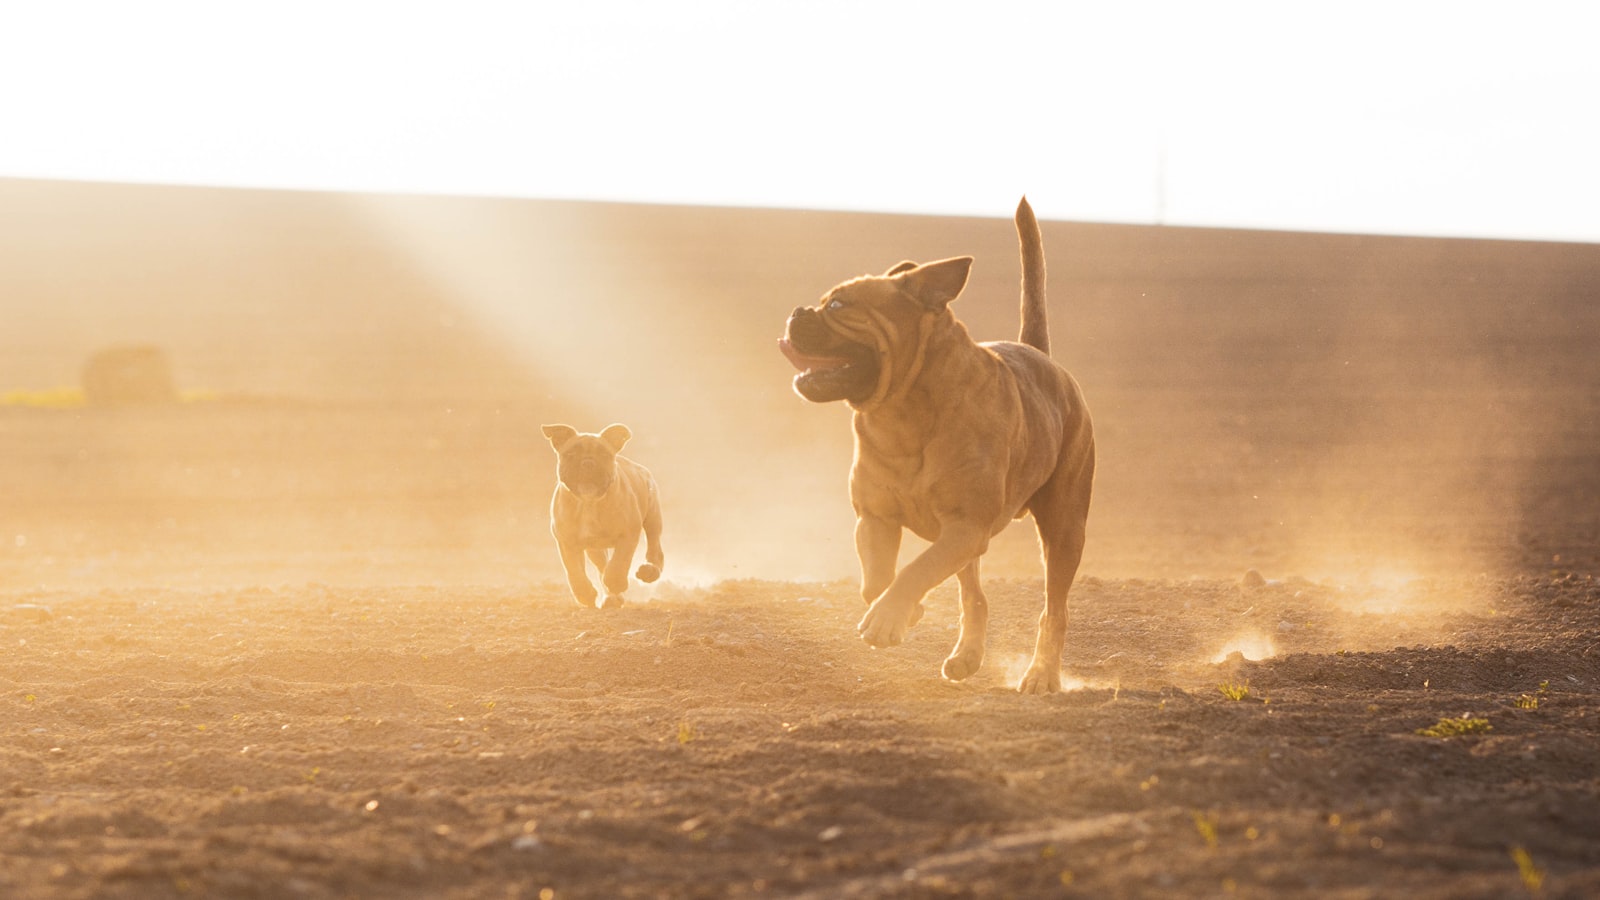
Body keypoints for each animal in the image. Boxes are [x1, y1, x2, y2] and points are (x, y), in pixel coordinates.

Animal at [537, 422, 662, 605]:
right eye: (571, 453)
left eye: (604, 454)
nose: (588, 463)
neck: (588, 503)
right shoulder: (566, 542)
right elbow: (574, 570)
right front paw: (585, 593)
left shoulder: (628, 534)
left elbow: (620, 561)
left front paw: (616, 581)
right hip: (594, 549)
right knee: (602, 565)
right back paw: (611, 597)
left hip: (653, 517)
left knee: (655, 548)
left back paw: (649, 571)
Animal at [777, 196, 1100, 688]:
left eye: (838, 303)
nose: (797, 311)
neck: (902, 415)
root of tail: (1044, 358)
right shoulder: (875, 518)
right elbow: (876, 578)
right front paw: (903, 612)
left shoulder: (966, 526)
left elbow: (916, 569)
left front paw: (888, 618)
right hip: (976, 544)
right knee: (975, 597)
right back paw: (966, 656)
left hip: (1063, 528)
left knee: (1054, 610)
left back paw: (1042, 674)